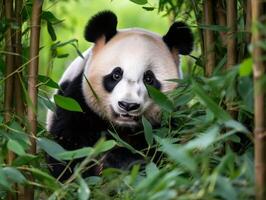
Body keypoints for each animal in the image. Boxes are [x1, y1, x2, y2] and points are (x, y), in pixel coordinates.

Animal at [46, 10, 193, 180]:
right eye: (116, 75)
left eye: (149, 79)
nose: (128, 105)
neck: (123, 128)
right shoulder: (76, 101)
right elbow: (67, 151)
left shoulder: (171, 119)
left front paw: (124, 162)